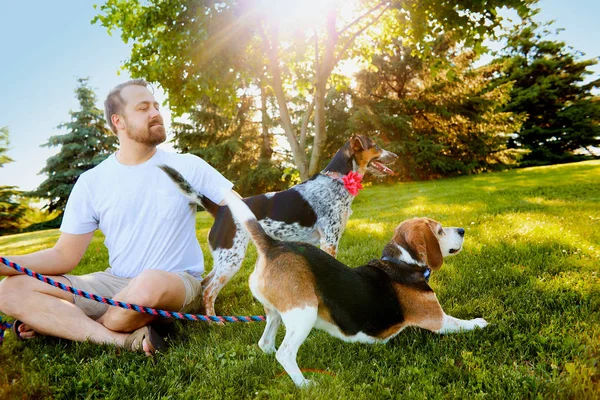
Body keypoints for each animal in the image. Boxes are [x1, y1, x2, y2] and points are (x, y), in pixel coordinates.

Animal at [218, 191, 490, 388]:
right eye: (440, 230)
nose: (463, 230)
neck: (402, 262)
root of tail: (272, 246)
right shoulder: (438, 320)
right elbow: (462, 323)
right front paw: (480, 322)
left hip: (275, 312)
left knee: (266, 343)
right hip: (304, 311)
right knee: (285, 353)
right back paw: (305, 384)